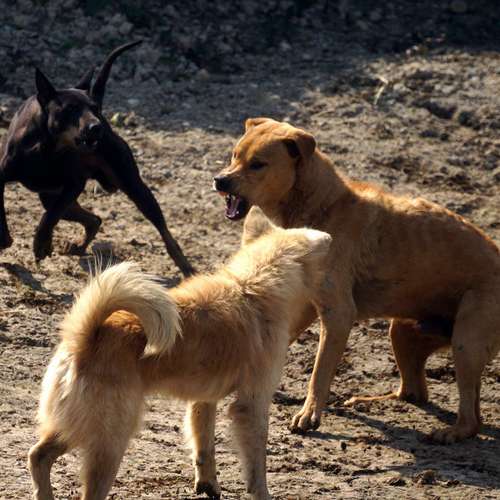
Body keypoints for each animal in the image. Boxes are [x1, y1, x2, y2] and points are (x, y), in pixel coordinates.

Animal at [0, 41, 194, 276]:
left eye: (94, 108)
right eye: (71, 109)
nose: (97, 126)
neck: (46, 148)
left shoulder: (74, 184)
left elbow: (50, 218)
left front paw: (41, 244)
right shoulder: (4, 176)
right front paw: (7, 239)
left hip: (133, 186)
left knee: (163, 230)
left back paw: (186, 267)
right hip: (50, 195)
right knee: (94, 219)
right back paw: (78, 247)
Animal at [28, 224, 332, 500]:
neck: (253, 286)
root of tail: (87, 337)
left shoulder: (204, 400)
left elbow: (204, 447)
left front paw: (208, 486)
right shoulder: (252, 405)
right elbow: (257, 468)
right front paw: (261, 493)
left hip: (76, 427)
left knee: (38, 456)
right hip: (110, 441)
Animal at [214, 117, 500, 444]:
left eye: (258, 164)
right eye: (235, 155)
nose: (220, 180)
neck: (322, 207)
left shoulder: (338, 314)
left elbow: (319, 372)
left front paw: (309, 415)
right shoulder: (310, 305)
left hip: (466, 343)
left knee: (471, 419)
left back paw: (449, 432)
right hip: (402, 332)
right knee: (414, 392)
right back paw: (368, 401)